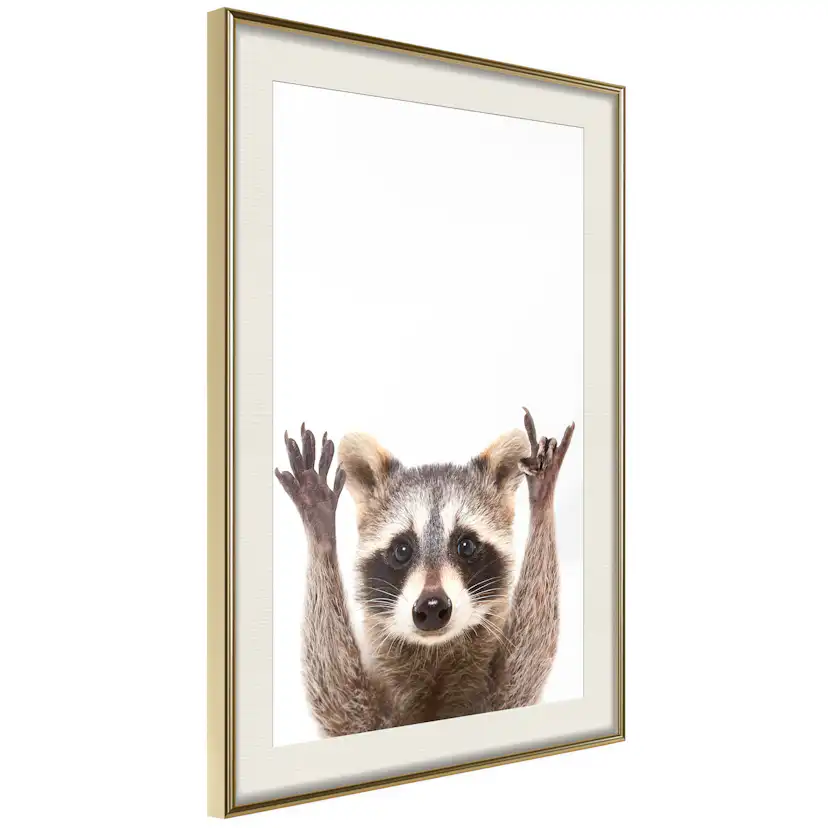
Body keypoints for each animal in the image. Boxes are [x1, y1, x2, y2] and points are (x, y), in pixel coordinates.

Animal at [275, 409, 574, 738]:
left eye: (466, 545)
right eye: (402, 550)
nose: (432, 606)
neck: (434, 653)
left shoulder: (498, 699)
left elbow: (526, 663)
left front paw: (542, 500)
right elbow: (336, 697)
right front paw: (320, 529)